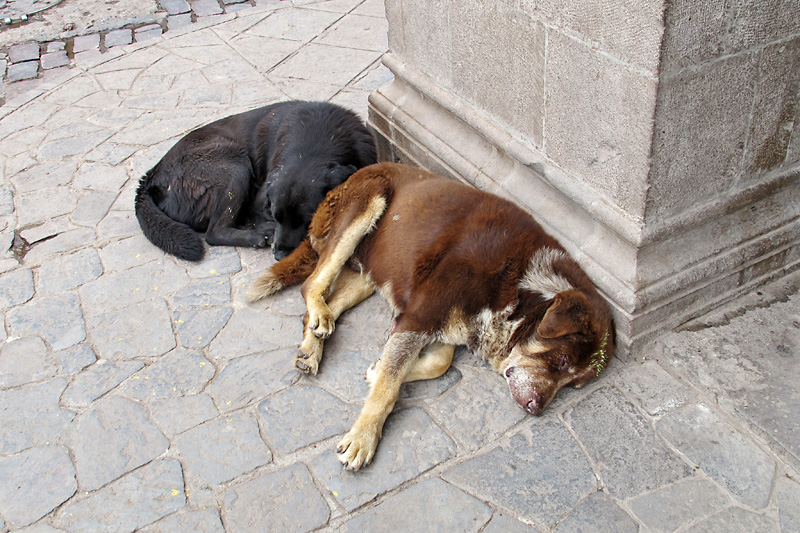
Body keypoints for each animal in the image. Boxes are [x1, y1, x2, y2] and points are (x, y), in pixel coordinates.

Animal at [135, 101, 378, 260]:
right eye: (277, 216)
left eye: (308, 219)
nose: (279, 256)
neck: (315, 143)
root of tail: (152, 175)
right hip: (234, 164)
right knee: (215, 232)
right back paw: (258, 235)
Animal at [247, 161, 616, 470]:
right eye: (563, 360)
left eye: (574, 384)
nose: (537, 409)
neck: (523, 287)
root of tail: (351, 176)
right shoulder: (419, 318)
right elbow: (390, 385)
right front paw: (364, 436)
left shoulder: (442, 323)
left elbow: (437, 364)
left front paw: (376, 370)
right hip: (367, 202)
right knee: (311, 284)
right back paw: (317, 323)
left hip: (375, 273)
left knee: (329, 302)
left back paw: (313, 342)